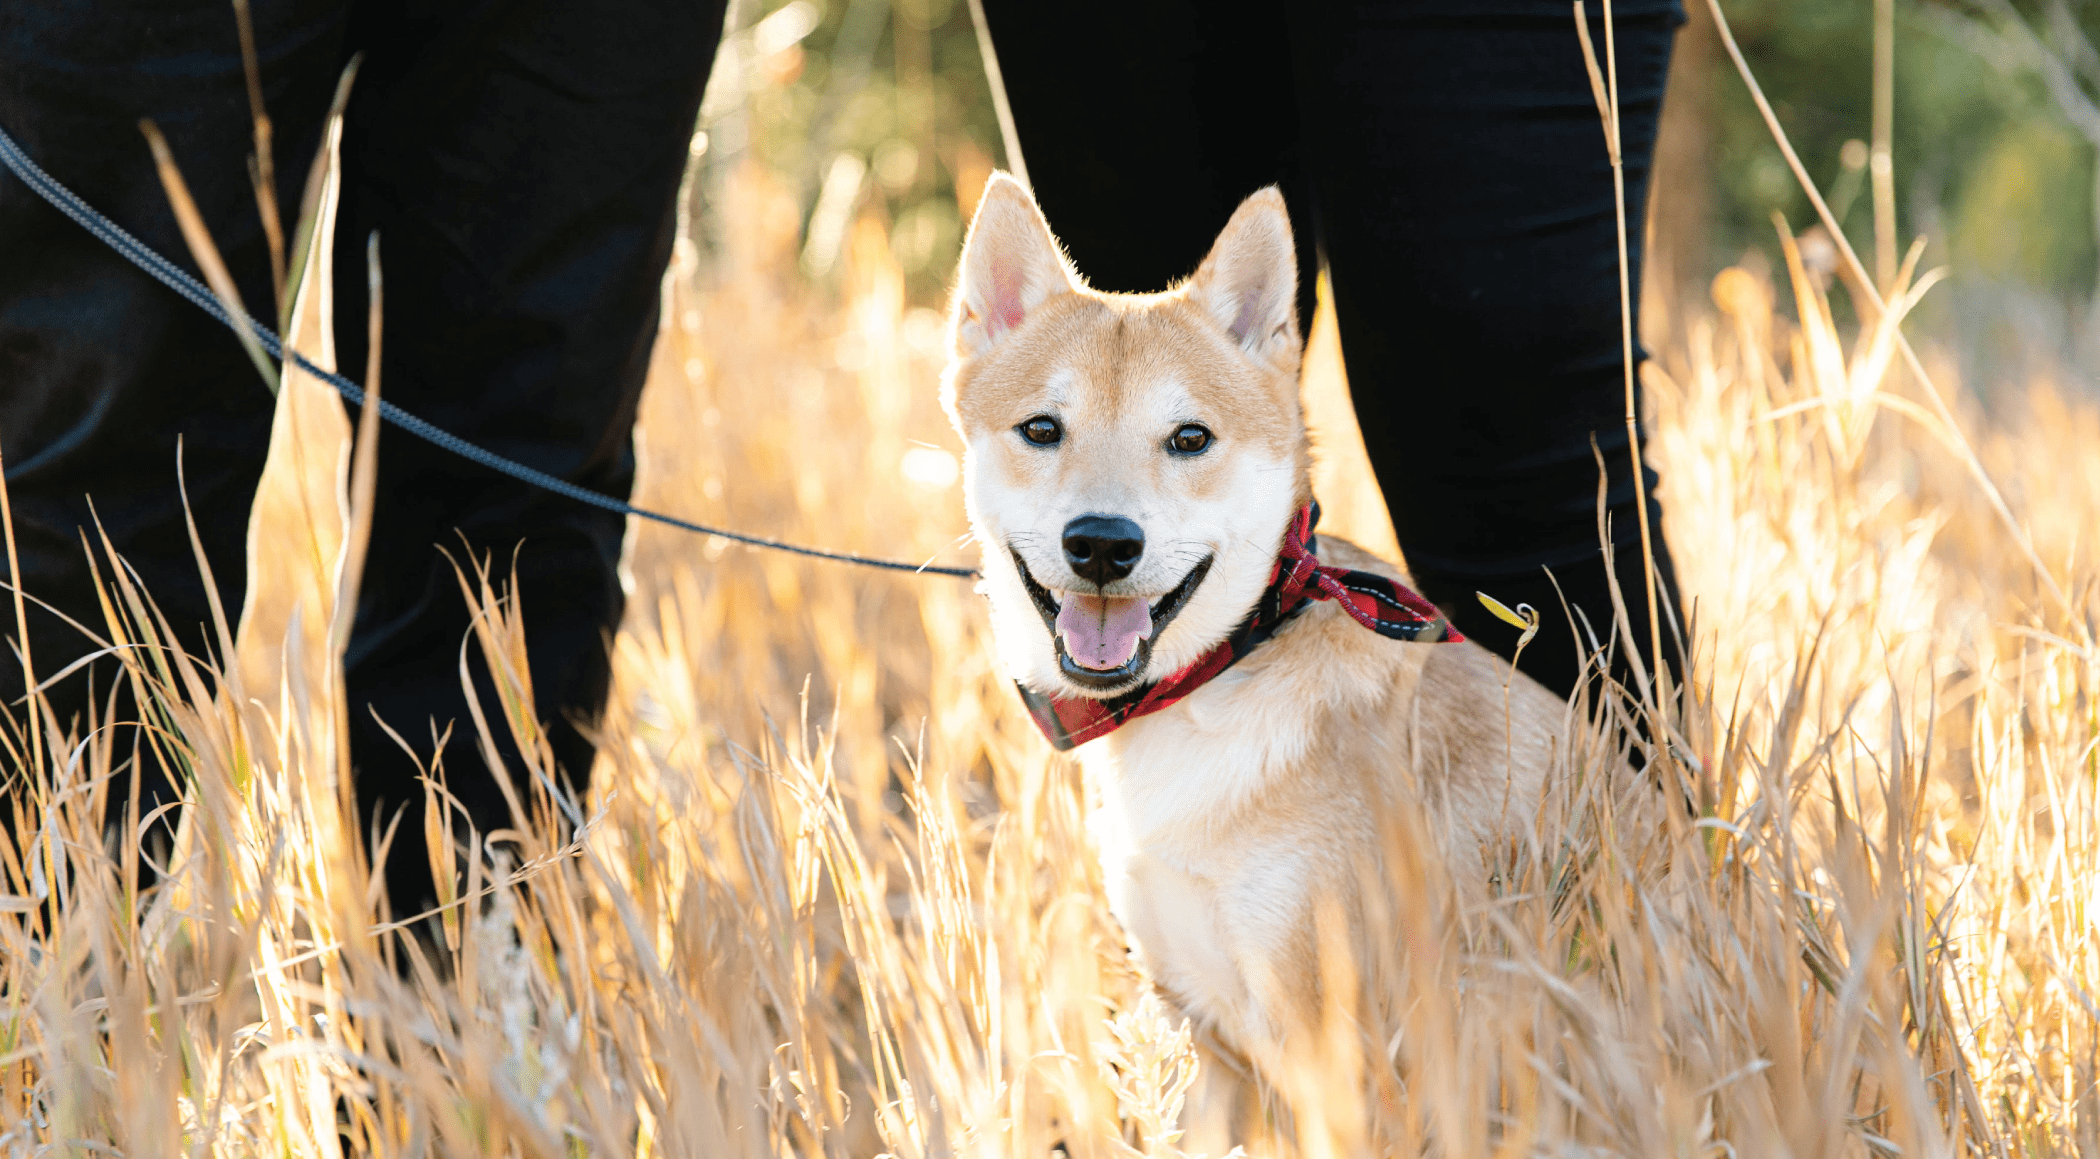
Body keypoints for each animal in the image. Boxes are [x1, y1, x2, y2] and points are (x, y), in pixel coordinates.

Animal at [943, 174, 1566, 1100]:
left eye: (1190, 437)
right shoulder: (1198, 1027)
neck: (1206, 689)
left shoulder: (1332, 1042)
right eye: (1042, 430)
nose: (1101, 544)